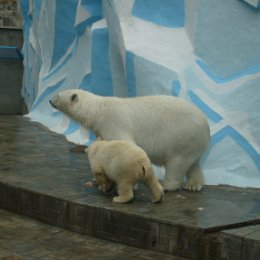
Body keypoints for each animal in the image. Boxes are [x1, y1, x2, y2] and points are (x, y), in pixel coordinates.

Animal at [49, 89, 211, 191]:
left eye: (57, 94)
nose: (50, 100)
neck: (99, 110)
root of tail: (206, 126)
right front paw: (94, 181)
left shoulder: (113, 122)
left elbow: (125, 145)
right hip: (193, 142)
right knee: (192, 163)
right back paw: (193, 185)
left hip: (182, 136)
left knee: (176, 163)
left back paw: (166, 184)